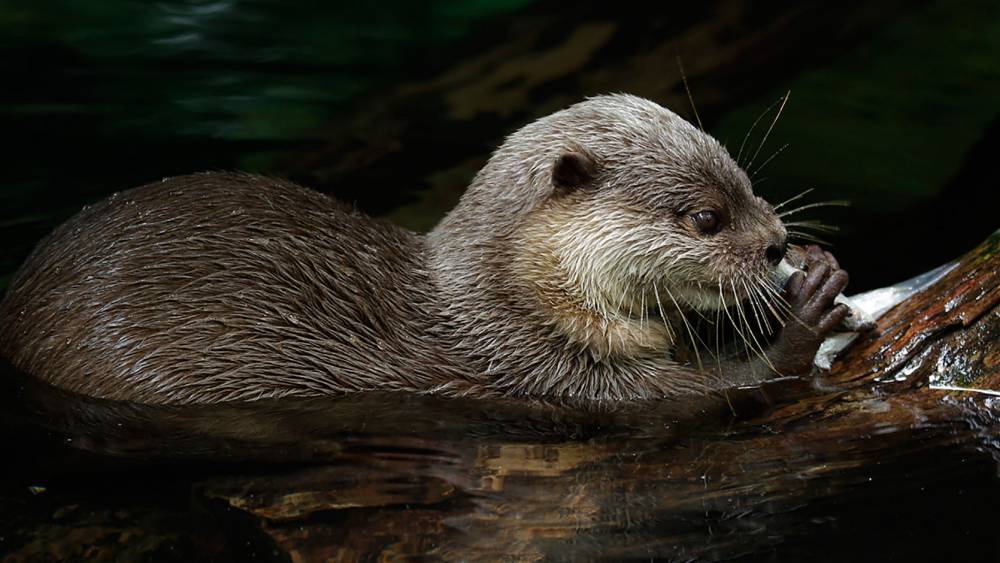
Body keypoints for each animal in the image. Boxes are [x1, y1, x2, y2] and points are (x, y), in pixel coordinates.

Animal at [0, 94, 850, 405]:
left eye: (748, 182)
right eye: (706, 217)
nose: (776, 241)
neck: (511, 300)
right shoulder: (536, 365)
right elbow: (701, 394)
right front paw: (804, 312)